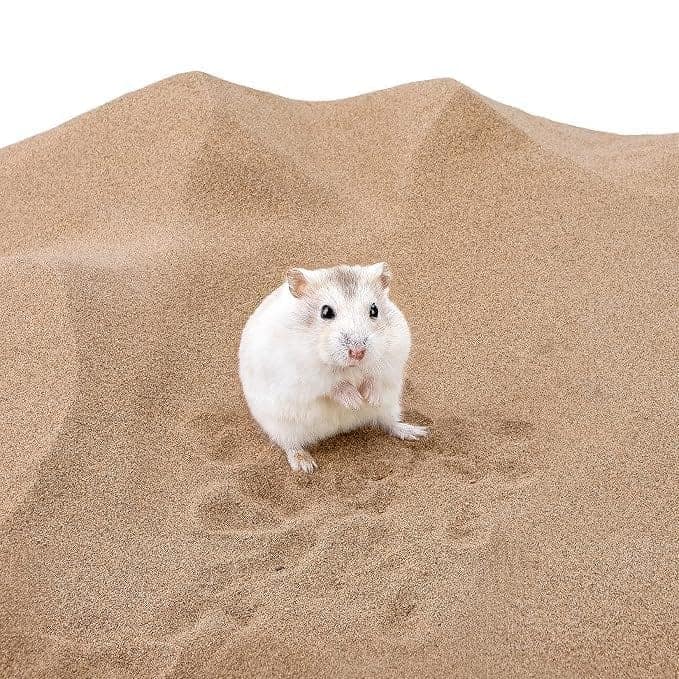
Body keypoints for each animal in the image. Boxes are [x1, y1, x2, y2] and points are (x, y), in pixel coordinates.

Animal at [238, 263, 427, 472]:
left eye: (374, 309)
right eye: (325, 312)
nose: (358, 352)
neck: (350, 367)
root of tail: (340, 429)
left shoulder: (392, 357)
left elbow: (375, 377)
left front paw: (370, 399)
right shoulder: (305, 374)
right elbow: (334, 385)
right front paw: (356, 402)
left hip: (390, 406)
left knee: (389, 423)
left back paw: (416, 432)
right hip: (281, 425)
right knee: (290, 444)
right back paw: (305, 465)